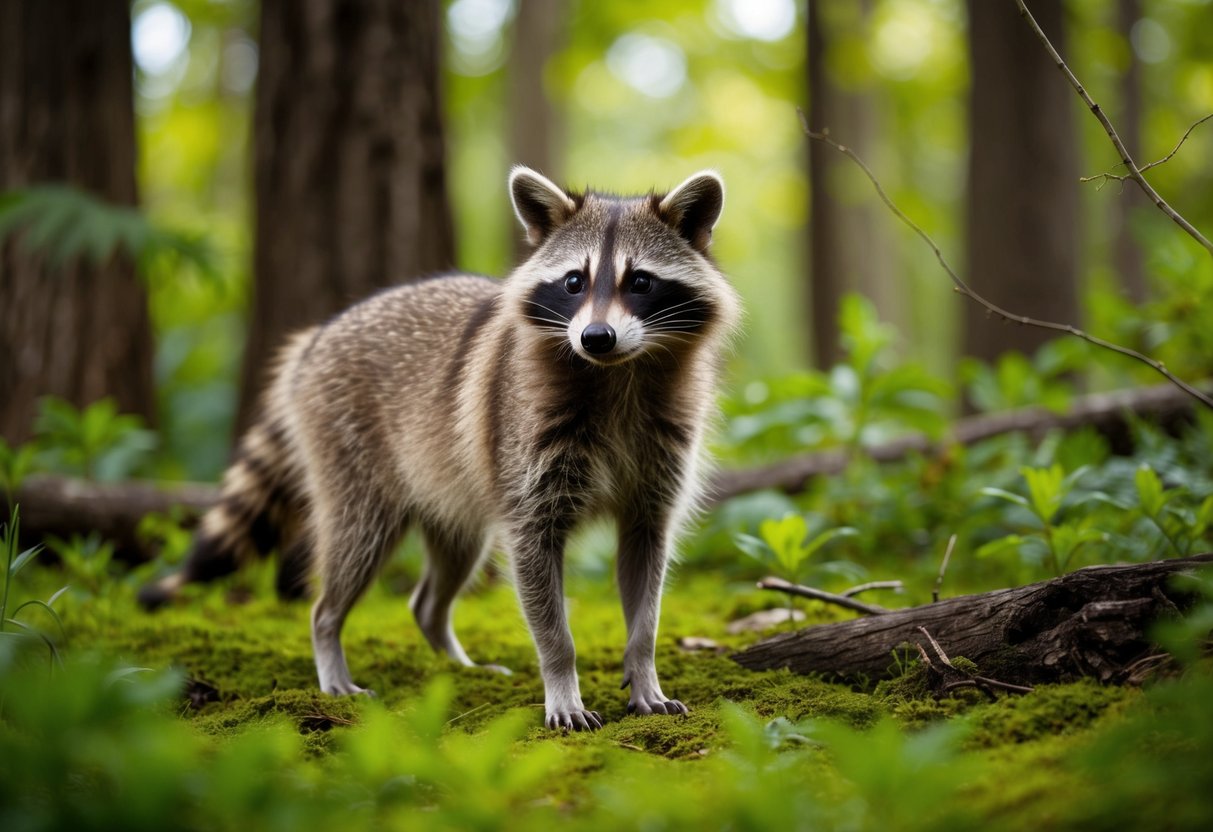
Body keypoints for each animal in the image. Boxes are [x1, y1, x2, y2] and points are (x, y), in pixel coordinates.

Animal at [139, 167, 741, 730]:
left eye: (640, 281)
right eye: (575, 281)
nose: (596, 337)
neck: (617, 373)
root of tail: (315, 339)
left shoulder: (657, 467)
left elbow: (647, 582)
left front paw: (643, 671)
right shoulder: (527, 456)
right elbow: (542, 589)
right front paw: (562, 680)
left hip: (453, 495)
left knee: (441, 580)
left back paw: (451, 659)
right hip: (350, 452)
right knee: (351, 548)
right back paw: (329, 639)